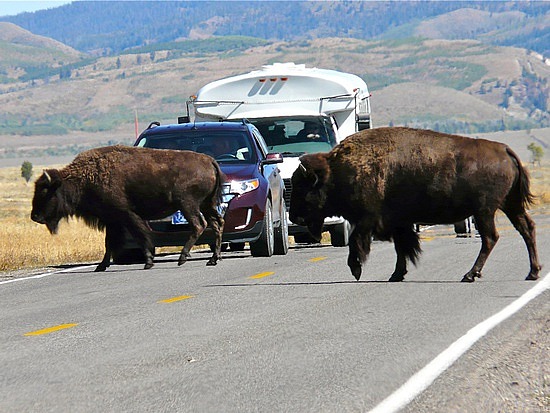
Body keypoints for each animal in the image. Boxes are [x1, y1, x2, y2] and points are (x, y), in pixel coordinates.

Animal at [29, 145, 224, 270]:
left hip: (188, 205)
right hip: (206, 204)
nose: (35, 216)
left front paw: (148, 262)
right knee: (217, 224)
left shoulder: (126, 215)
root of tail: (210, 161)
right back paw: (213, 259)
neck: (85, 177)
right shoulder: (111, 220)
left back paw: (182, 258)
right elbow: (109, 242)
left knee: (199, 225)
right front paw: (101, 266)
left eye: (45, 191)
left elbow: (140, 236)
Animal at [292, 126, 540, 280]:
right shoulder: (398, 223)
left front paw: (357, 270)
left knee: (490, 238)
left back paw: (470, 275)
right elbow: (402, 247)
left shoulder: (368, 220)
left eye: (303, 187)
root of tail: (504, 150)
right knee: (526, 229)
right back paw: (532, 272)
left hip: (485, 211)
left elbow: (358, 242)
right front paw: (396, 275)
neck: (335, 172)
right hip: (509, 205)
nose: (295, 216)